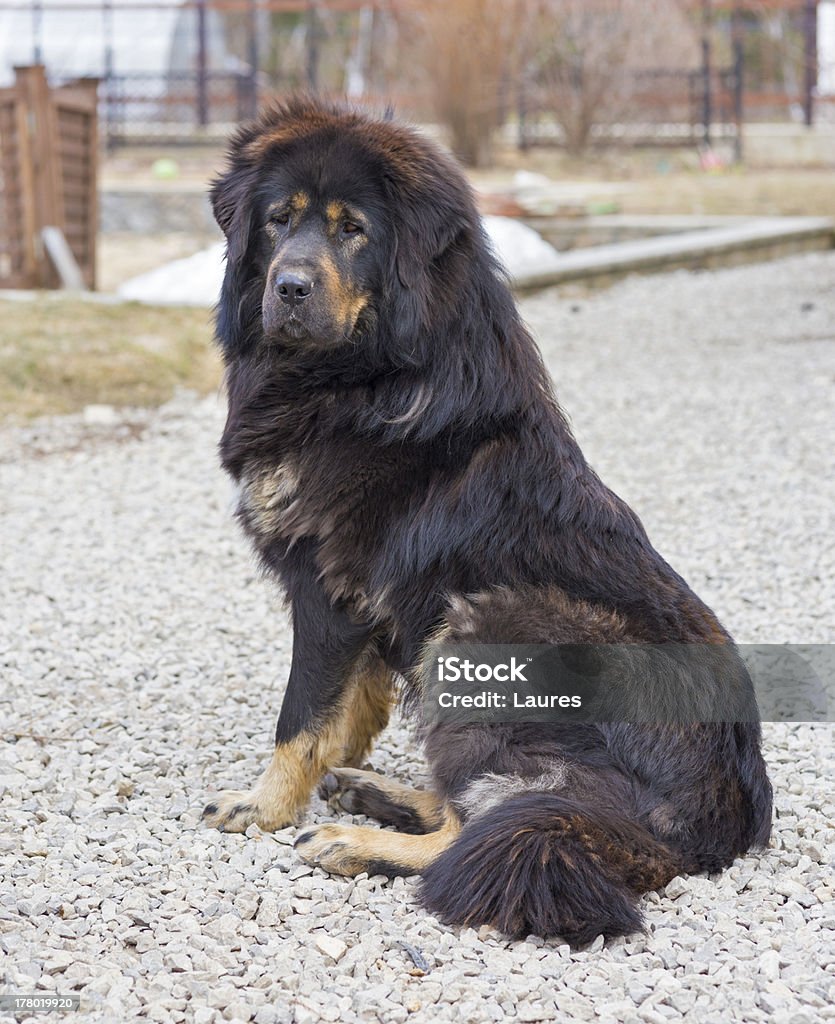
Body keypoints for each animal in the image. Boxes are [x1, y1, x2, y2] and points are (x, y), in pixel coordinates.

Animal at [200, 97, 770, 942]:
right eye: (278, 221)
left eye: (352, 229)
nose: (290, 286)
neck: (371, 371)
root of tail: (712, 825)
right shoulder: (368, 603)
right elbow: (350, 702)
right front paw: (336, 760)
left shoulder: (328, 590)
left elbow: (299, 717)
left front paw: (265, 806)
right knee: (482, 804)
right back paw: (379, 795)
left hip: (483, 625)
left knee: (483, 827)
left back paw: (354, 840)